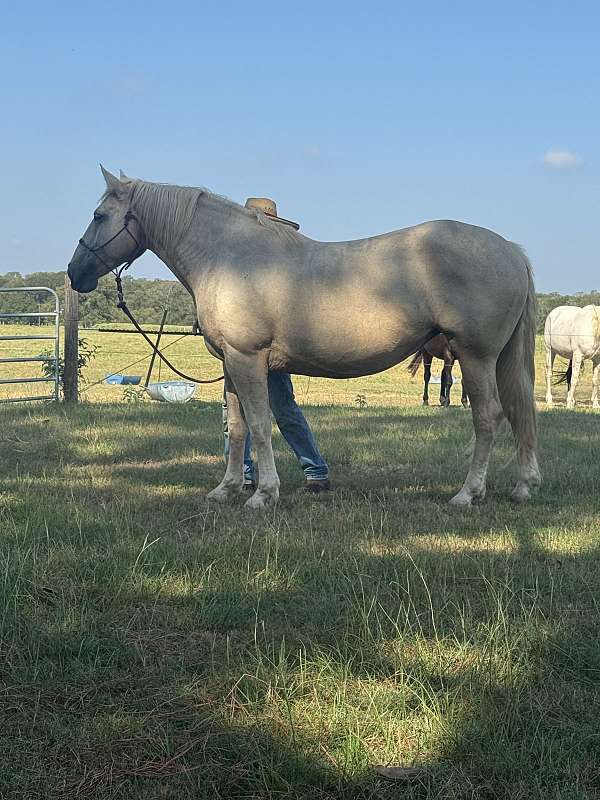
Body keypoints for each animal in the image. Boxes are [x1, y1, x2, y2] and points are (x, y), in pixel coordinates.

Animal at [68, 167, 540, 508]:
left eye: (98, 216)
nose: (75, 273)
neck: (229, 256)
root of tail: (511, 250)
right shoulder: (231, 365)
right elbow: (237, 429)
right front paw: (226, 489)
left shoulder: (247, 360)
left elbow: (260, 425)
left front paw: (262, 495)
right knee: (518, 412)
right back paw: (521, 486)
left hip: (476, 356)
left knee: (489, 417)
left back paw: (467, 494)